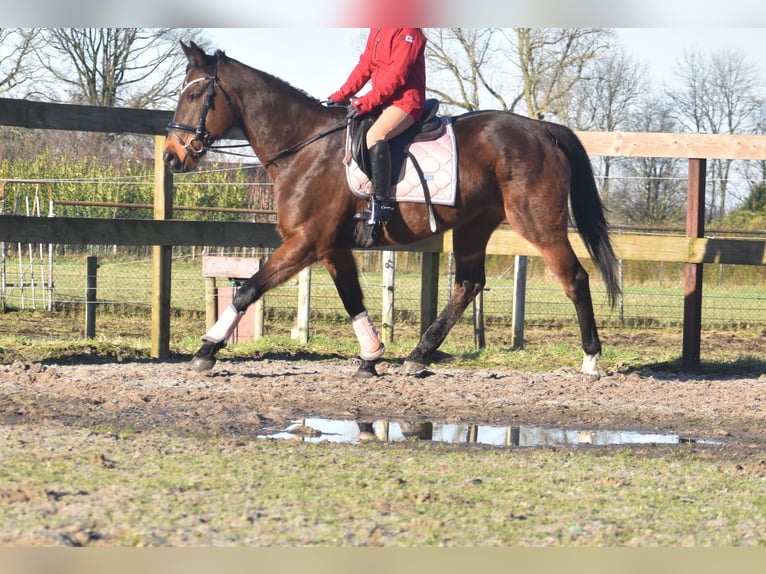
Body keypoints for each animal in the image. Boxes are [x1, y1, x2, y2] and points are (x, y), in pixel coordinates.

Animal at [165, 42, 620, 380]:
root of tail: (541, 129)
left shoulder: (305, 242)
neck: (305, 147)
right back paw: (418, 354)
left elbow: (248, 290)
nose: (172, 157)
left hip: (538, 223)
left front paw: (207, 349)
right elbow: (351, 298)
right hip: (474, 225)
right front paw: (371, 355)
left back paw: (590, 360)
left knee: (575, 278)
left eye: (194, 95)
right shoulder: (331, 247)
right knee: (467, 284)